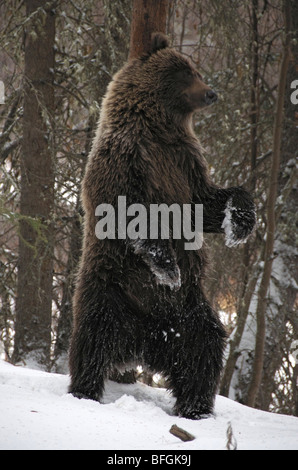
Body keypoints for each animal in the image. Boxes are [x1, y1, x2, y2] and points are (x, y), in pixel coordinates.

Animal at [68, 35, 255, 420]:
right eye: (185, 73)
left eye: (196, 69)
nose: (211, 92)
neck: (158, 129)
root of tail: (145, 341)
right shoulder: (128, 160)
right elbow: (129, 212)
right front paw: (168, 268)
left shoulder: (184, 162)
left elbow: (207, 202)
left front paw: (241, 221)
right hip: (111, 288)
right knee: (92, 340)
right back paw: (85, 391)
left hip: (189, 313)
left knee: (204, 348)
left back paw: (196, 407)